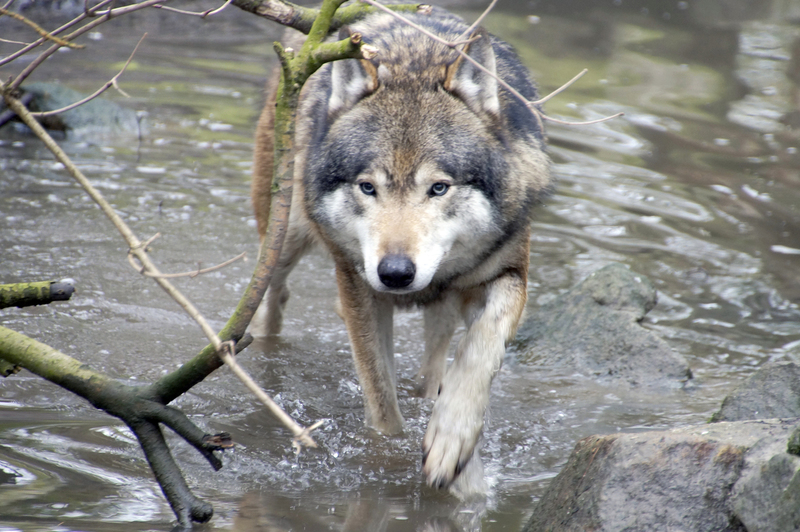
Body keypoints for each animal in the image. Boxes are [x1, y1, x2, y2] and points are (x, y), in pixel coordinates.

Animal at [251, 7, 551, 491]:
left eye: (439, 187)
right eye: (368, 187)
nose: (394, 273)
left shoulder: (508, 274)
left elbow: (480, 350)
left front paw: (452, 440)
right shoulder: (358, 286)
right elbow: (381, 398)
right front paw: (386, 459)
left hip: (443, 307)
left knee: (435, 360)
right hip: (283, 241)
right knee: (273, 299)